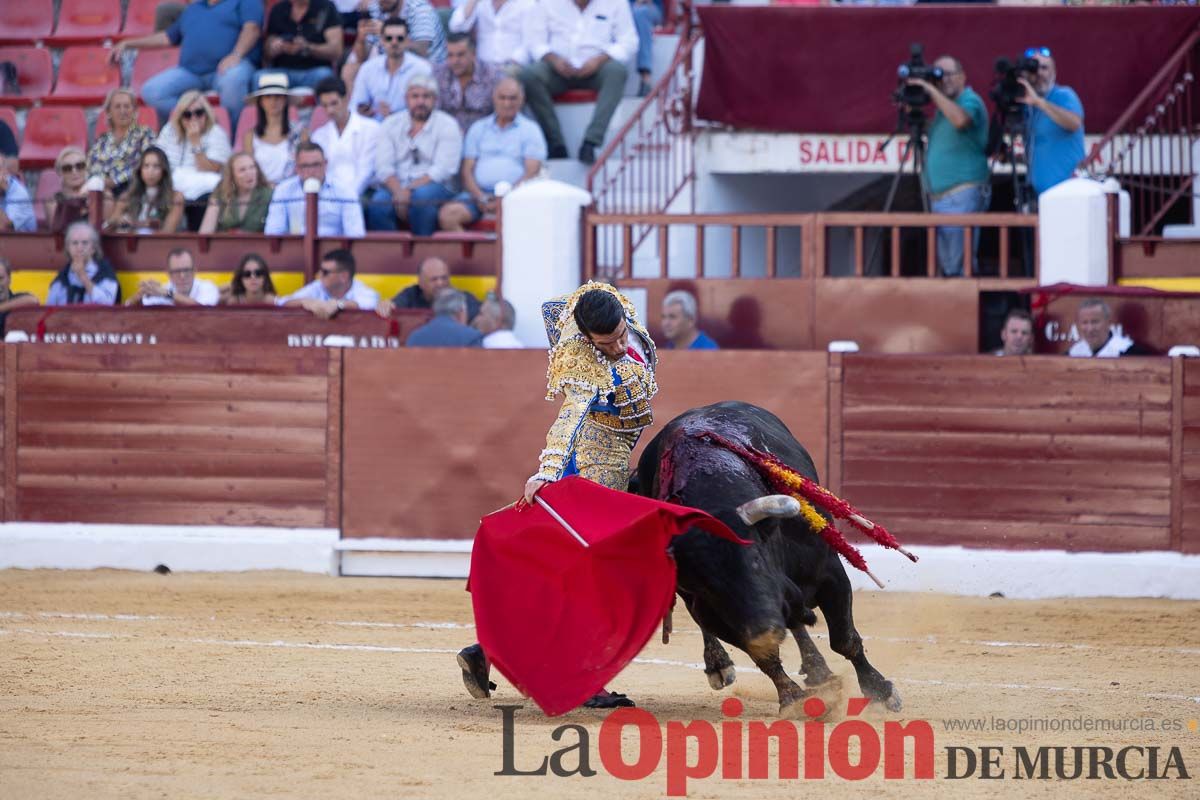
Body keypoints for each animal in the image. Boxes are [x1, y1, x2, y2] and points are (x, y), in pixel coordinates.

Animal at [638, 402, 902, 714]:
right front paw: (793, 698)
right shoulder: (712, 610)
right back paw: (720, 665)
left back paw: (819, 670)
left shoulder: (830, 574)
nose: (767, 629)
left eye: (754, 561)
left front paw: (880, 690)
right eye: (708, 587)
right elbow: (763, 655)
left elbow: (844, 639)